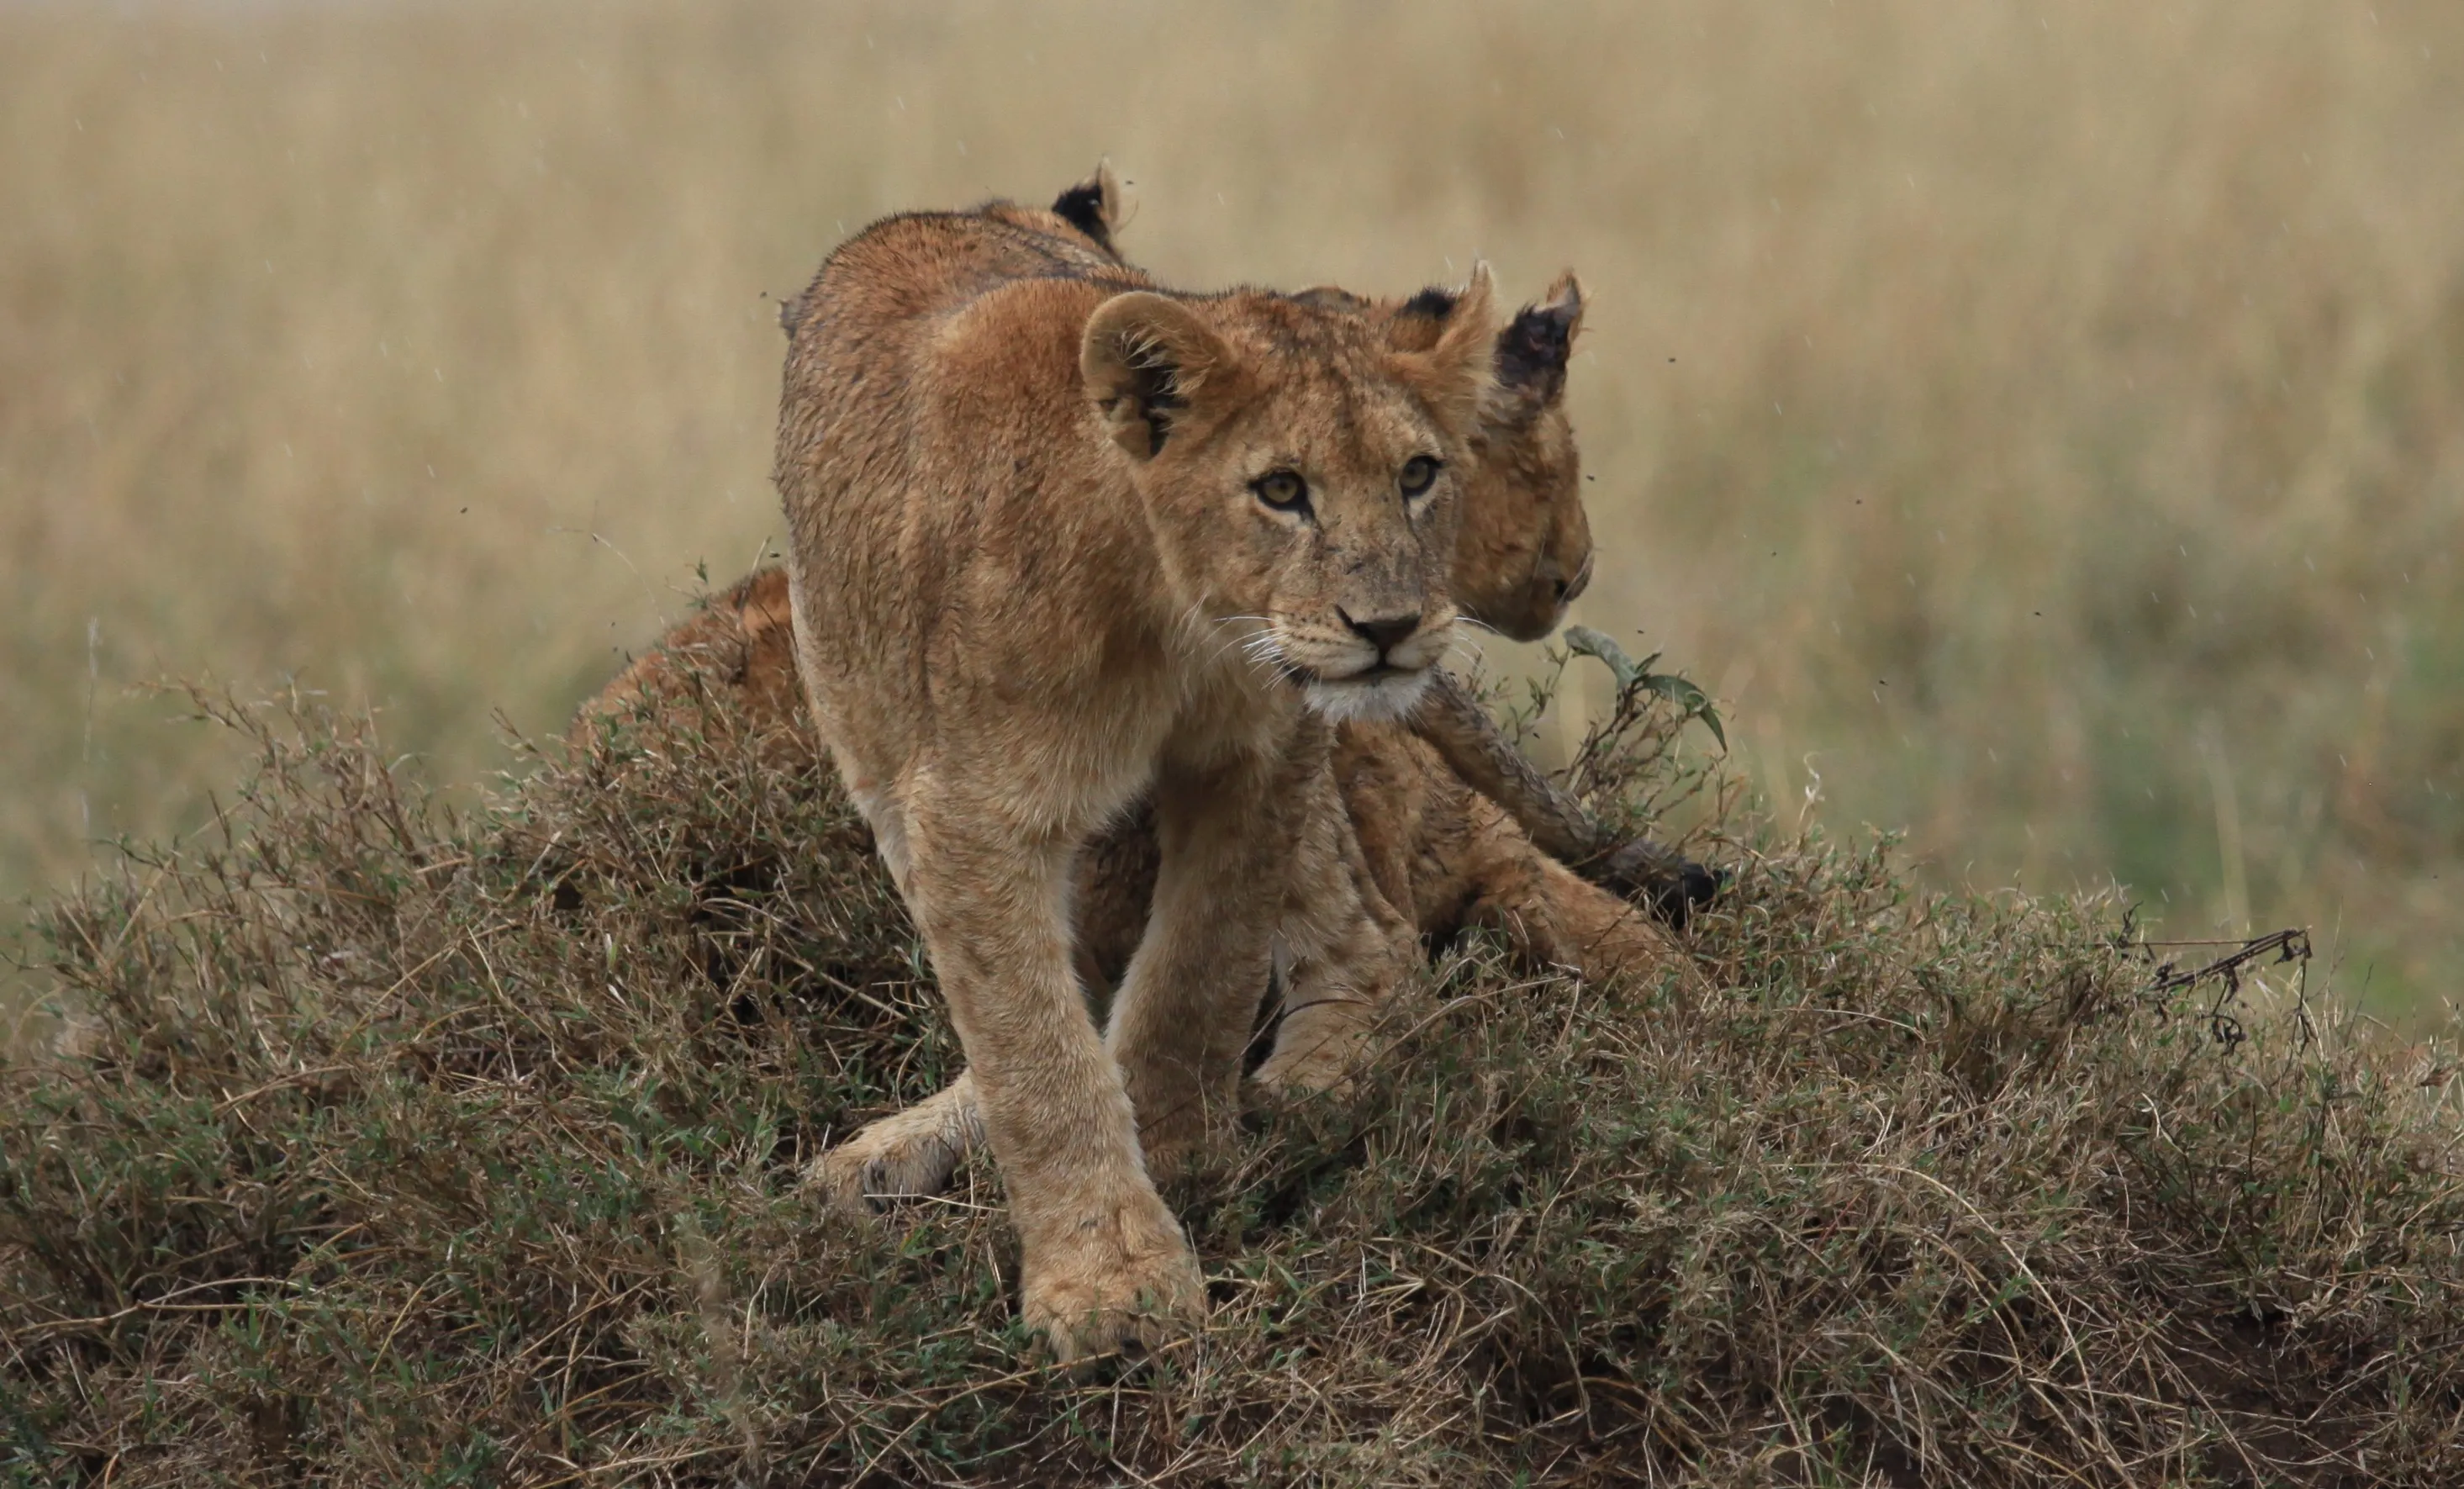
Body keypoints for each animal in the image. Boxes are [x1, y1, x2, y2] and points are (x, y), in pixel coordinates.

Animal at [768, 173, 1507, 1362]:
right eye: (1282, 488)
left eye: (1419, 473)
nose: (1390, 626)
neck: (1178, 623)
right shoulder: (967, 811)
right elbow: (1034, 1049)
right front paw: (1108, 1282)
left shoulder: (1267, 748)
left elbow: (1196, 973)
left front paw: (1181, 1156)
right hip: (869, 747)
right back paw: (886, 1154)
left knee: (1385, 946)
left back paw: (1314, 1076)